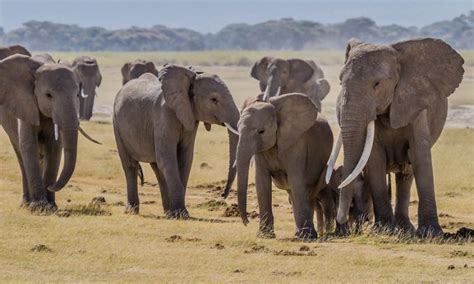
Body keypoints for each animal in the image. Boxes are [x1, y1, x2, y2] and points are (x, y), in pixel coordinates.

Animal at [114, 64, 241, 217]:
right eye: (214, 99)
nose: (222, 195)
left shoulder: (190, 116)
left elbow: (184, 159)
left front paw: (177, 213)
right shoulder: (164, 115)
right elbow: (168, 159)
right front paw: (181, 215)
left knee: (157, 168)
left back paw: (167, 212)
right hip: (117, 124)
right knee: (130, 166)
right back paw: (132, 211)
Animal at [235, 93, 332, 240]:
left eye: (261, 131)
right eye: (237, 129)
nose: (247, 222)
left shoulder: (297, 144)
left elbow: (296, 181)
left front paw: (307, 237)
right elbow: (262, 182)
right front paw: (264, 235)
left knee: (309, 193)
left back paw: (306, 235)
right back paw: (299, 233)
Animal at [326, 37, 462, 237]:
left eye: (377, 84)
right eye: (341, 82)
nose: (341, 219)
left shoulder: (416, 105)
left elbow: (420, 156)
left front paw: (431, 233)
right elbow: (375, 159)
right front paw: (383, 230)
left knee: (406, 172)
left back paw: (406, 229)